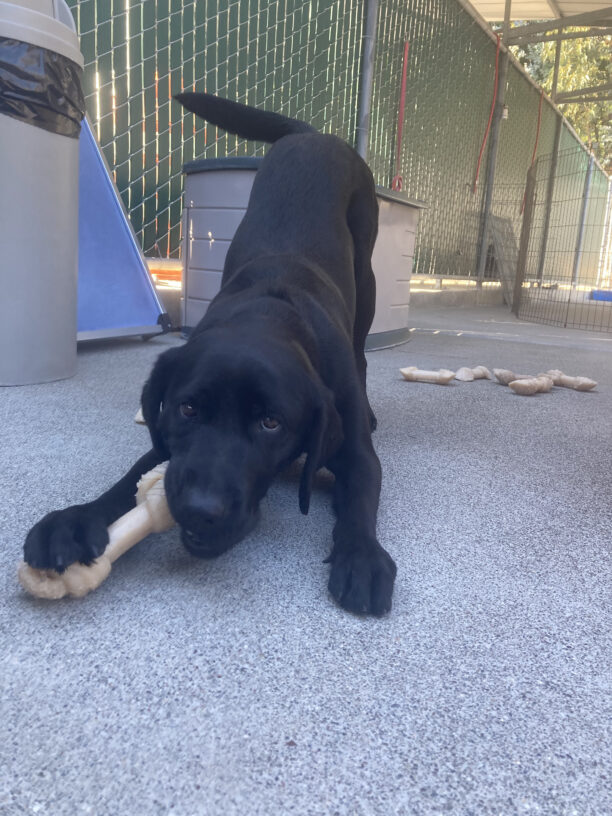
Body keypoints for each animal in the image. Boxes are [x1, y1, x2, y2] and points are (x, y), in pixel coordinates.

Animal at [23, 94, 396, 612]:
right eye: (188, 408)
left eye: (271, 422)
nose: (201, 510)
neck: (271, 307)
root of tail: (313, 135)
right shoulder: (167, 441)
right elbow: (129, 478)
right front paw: (74, 520)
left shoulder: (357, 452)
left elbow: (361, 493)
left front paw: (361, 556)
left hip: (367, 274)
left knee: (363, 350)